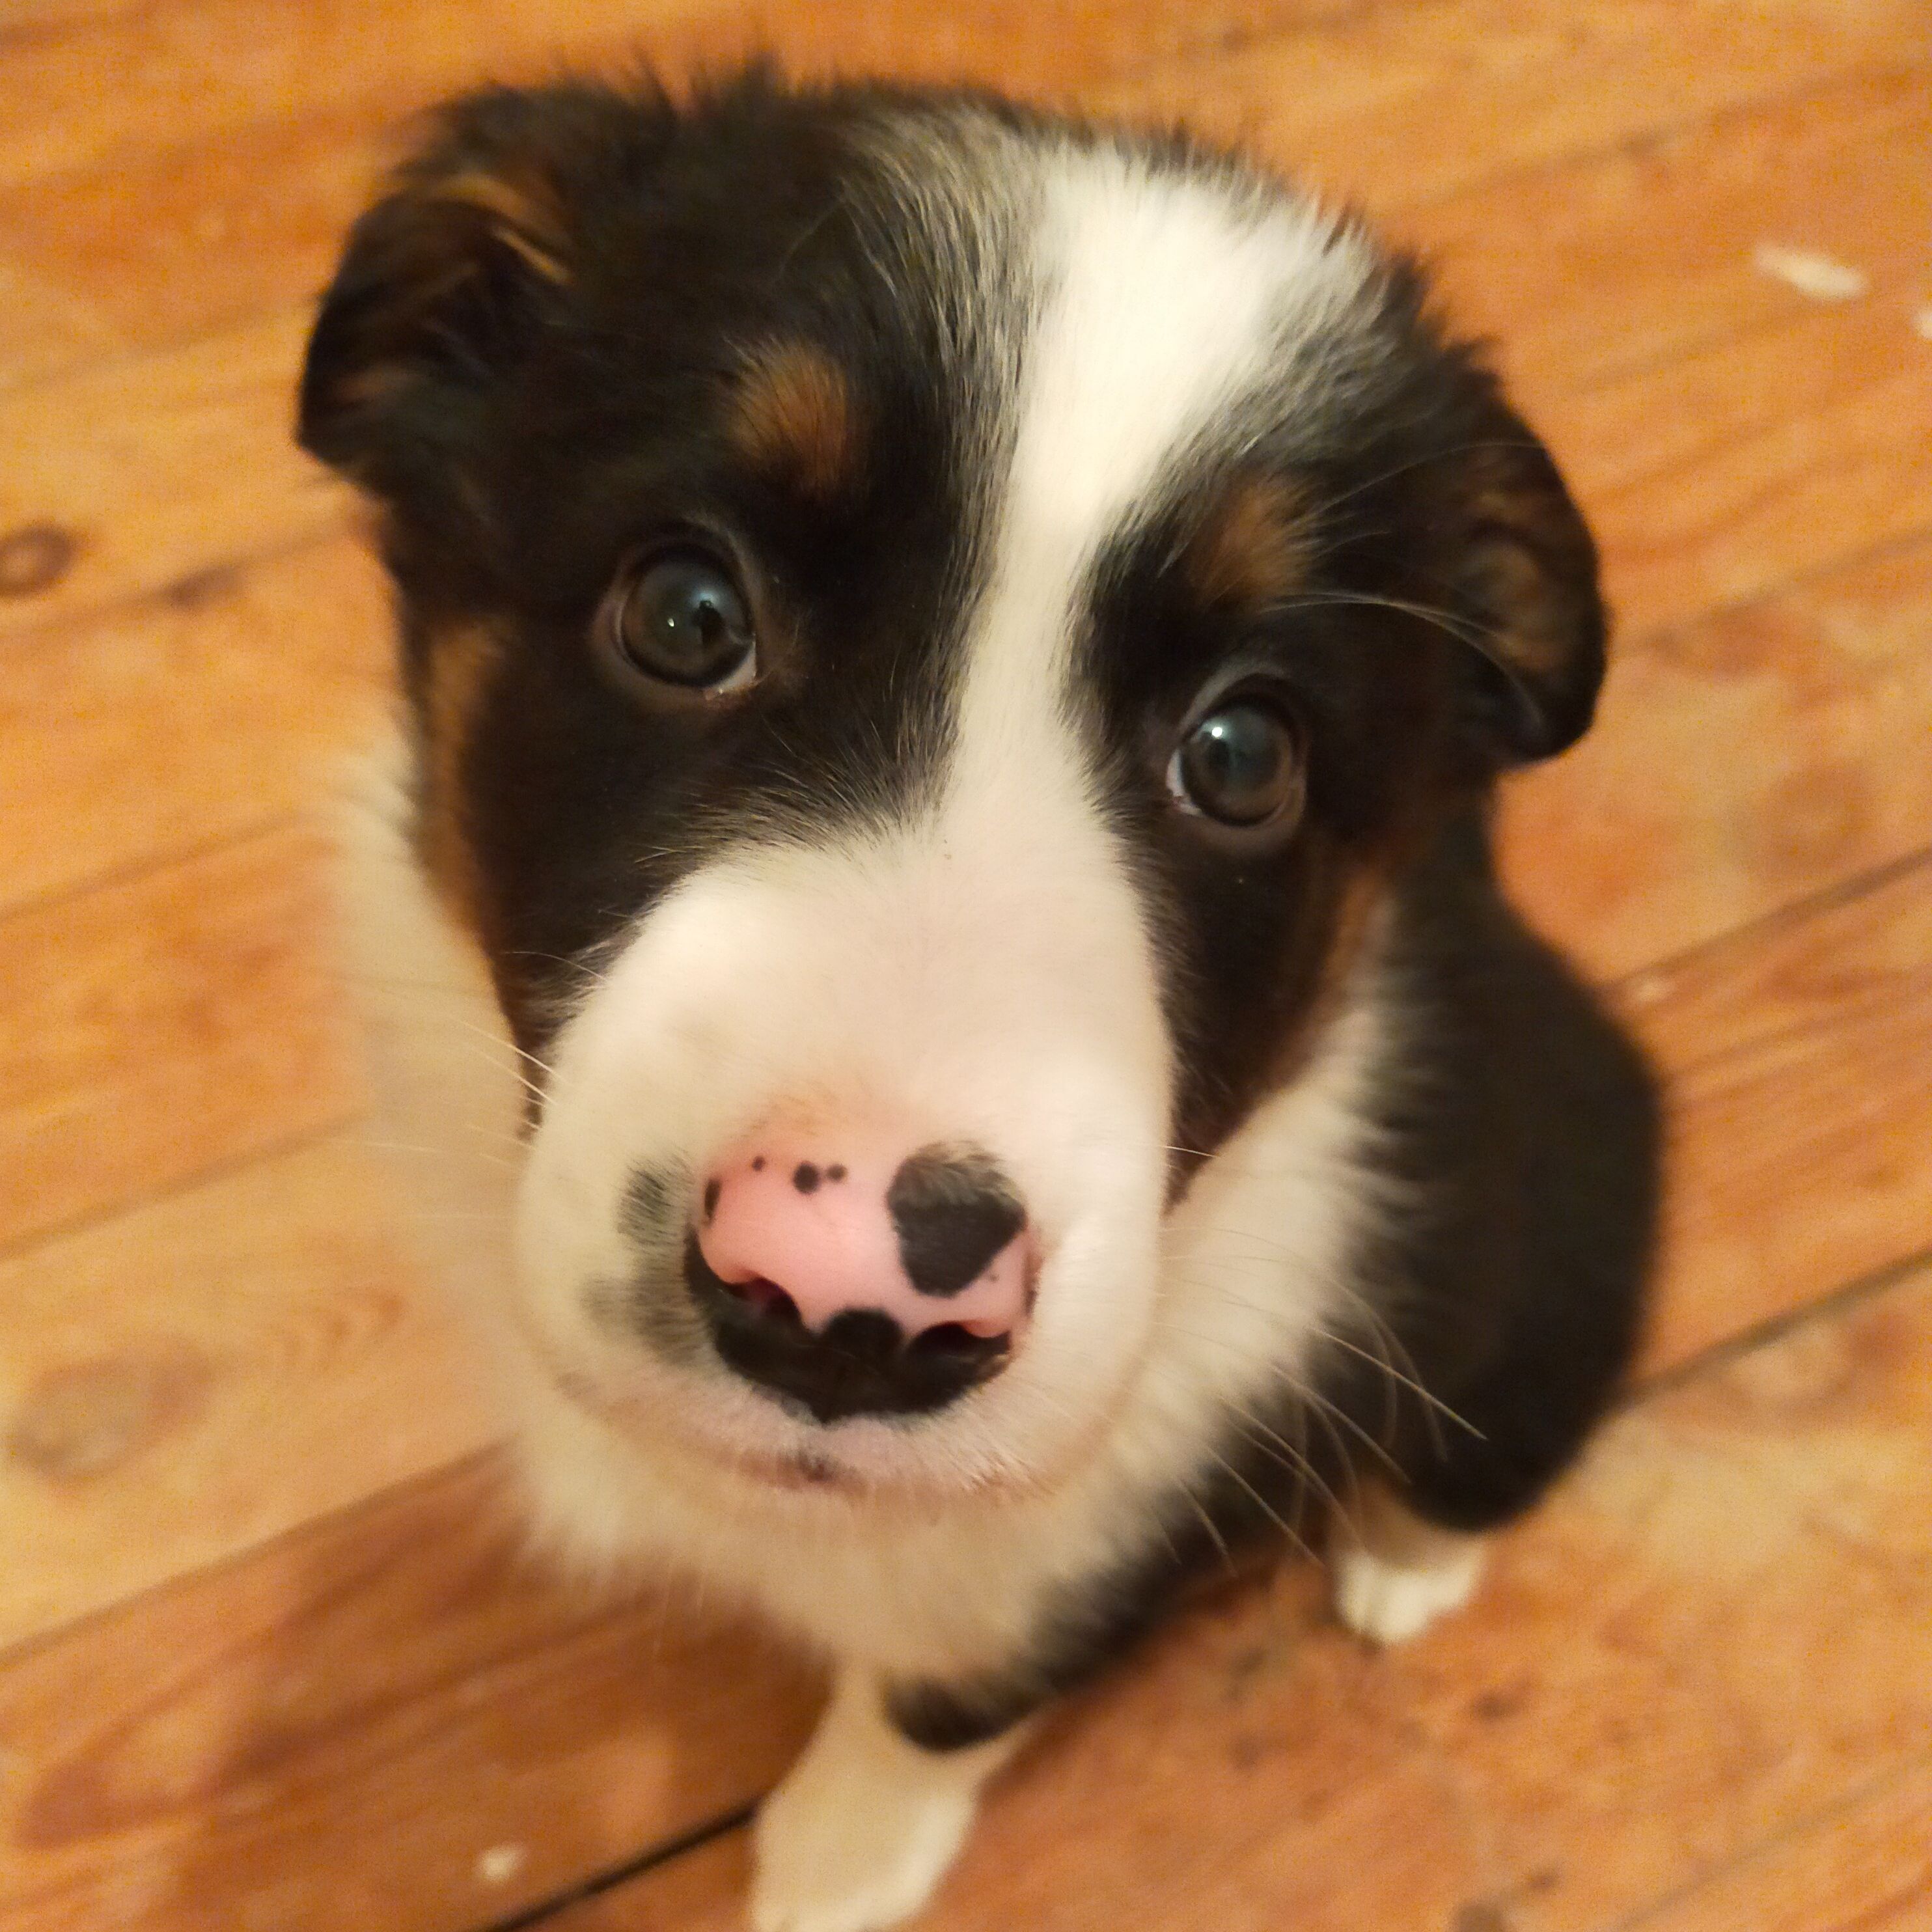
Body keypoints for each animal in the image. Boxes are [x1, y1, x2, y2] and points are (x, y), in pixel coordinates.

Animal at [301, 71, 1661, 1932]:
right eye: (686, 612)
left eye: (1244, 758)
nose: (851, 1291)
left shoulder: (1086, 1532)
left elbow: (943, 1697)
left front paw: (834, 1862)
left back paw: (1402, 1561)